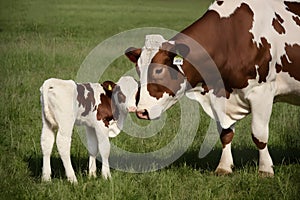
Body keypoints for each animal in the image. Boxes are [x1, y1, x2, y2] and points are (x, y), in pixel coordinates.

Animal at [125, 0, 300, 176]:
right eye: (138, 69)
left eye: (159, 70)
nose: (141, 111)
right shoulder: (219, 95)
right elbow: (225, 133)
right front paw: (224, 167)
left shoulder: (262, 92)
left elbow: (259, 134)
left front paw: (265, 169)